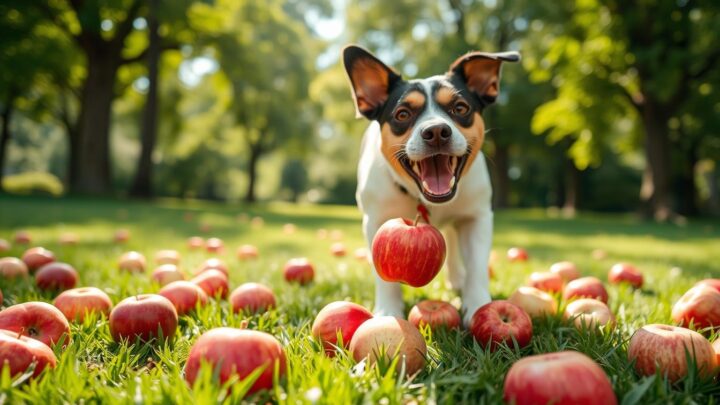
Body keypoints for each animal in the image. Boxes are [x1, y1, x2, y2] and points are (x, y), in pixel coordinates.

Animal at [342, 44, 516, 326]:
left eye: (460, 108)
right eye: (402, 114)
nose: (435, 131)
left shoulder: (477, 218)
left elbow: (477, 266)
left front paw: (478, 305)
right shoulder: (375, 222)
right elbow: (383, 277)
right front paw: (388, 311)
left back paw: (457, 280)